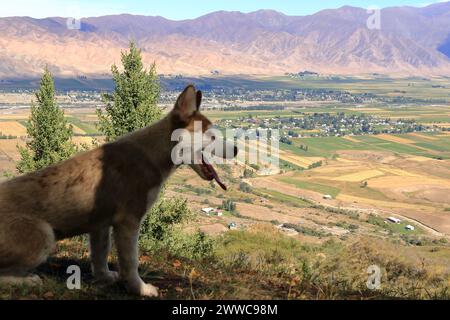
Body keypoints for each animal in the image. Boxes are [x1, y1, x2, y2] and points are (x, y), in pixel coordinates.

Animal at [0, 85, 239, 298]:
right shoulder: (128, 221)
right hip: (44, 234)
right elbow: (131, 262)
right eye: (212, 136)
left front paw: (104, 277)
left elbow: (100, 255)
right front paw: (140, 289)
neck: (152, 153)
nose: (237, 149)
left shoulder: (100, 223)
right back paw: (28, 280)